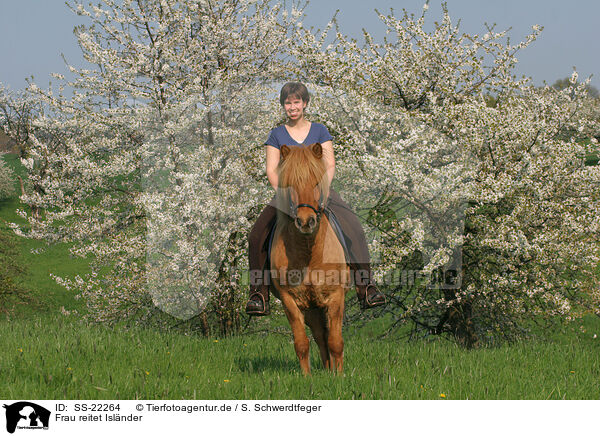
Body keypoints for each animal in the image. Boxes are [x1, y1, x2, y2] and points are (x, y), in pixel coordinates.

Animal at [268, 143, 350, 374]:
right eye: (290, 185)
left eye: (316, 183)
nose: (306, 222)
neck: (309, 253)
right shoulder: (290, 300)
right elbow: (302, 343)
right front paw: (307, 377)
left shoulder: (336, 296)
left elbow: (336, 341)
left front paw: (339, 376)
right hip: (312, 308)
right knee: (320, 336)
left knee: (327, 336)